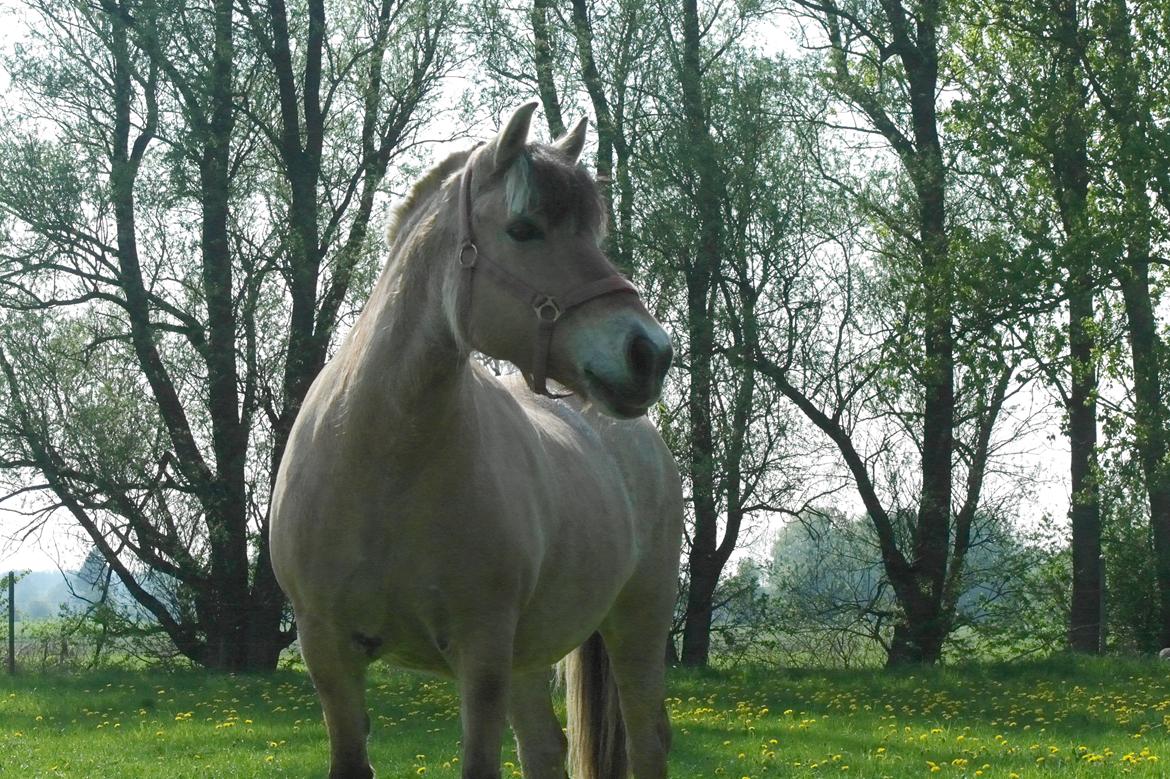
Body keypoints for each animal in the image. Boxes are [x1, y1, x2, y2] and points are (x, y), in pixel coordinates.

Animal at [267, 100, 683, 771]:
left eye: (592, 234)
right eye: (523, 229)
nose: (649, 354)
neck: (381, 462)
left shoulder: (482, 653)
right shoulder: (328, 655)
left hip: (637, 627)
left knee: (647, 743)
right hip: (531, 655)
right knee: (544, 749)